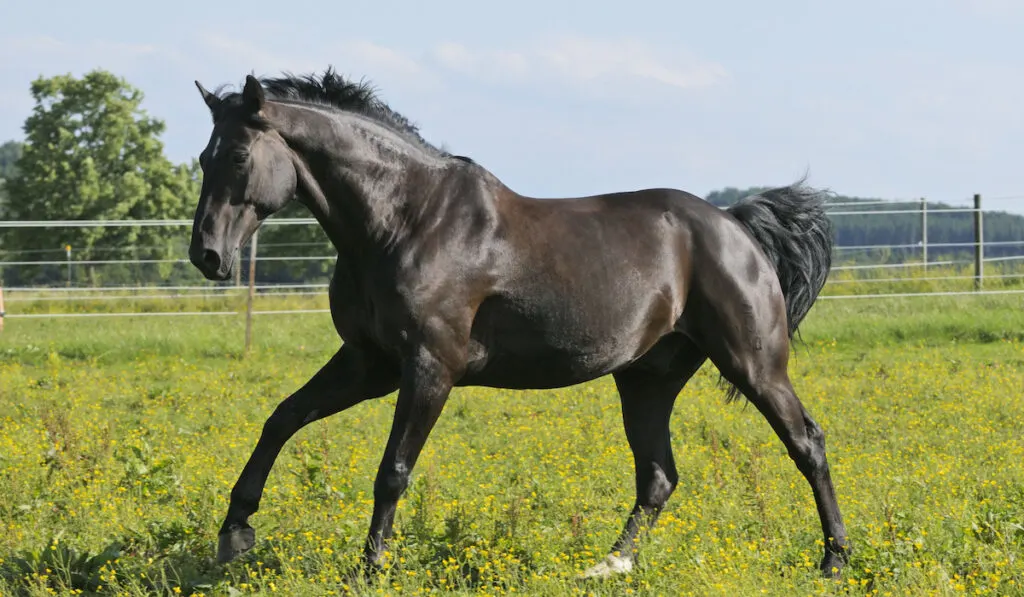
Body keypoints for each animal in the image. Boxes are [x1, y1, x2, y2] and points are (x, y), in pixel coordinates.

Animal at [188, 66, 851, 577]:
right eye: (202, 157)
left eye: (239, 154)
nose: (207, 256)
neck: (407, 221)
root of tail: (735, 224)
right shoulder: (367, 363)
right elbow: (281, 419)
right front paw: (234, 532)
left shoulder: (428, 368)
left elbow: (392, 470)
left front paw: (369, 567)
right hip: (647, 379)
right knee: (658, 476)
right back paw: (608, 566)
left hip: (753, 365)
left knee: (807, 443)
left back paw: (834, 560)